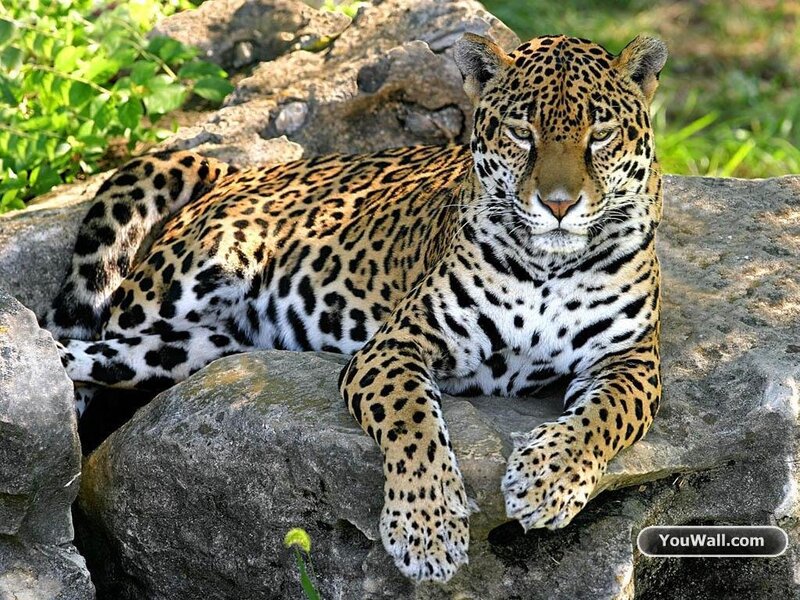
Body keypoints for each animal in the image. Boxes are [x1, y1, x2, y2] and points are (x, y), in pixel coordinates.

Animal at [45, 33, 667, 583]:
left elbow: (604, 418)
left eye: (600, 134)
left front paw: (546, 484)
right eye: (521, 132)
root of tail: (241, 169)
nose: (559, 205)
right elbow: (414, 422)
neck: (548, 267)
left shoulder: (632, 361)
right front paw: (427, 531)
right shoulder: (395, 345)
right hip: (175, 288)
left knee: (88, 355)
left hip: (189, 350)